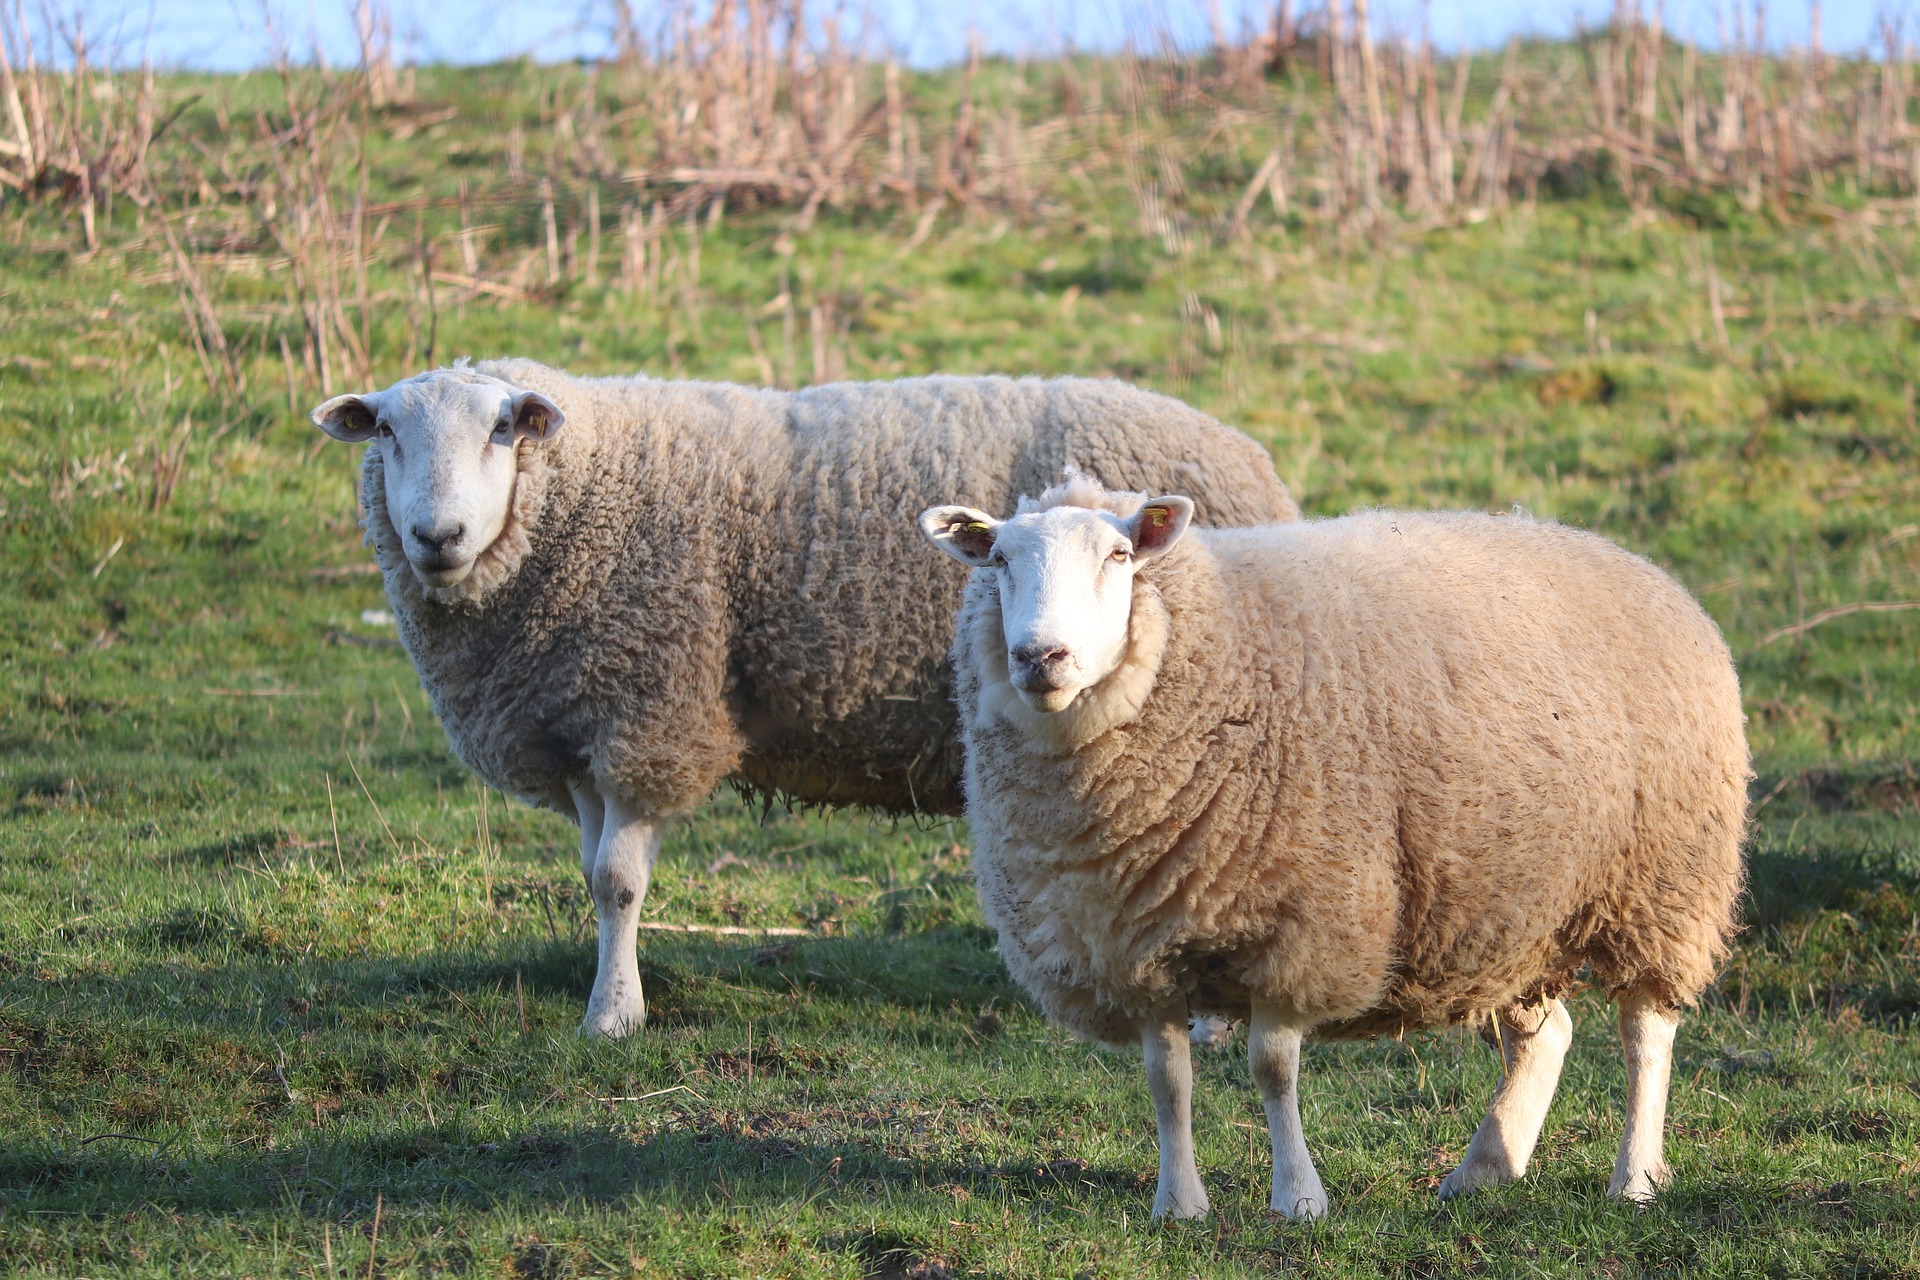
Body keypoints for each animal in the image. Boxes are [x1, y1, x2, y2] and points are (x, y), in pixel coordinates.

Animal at [309, 360, 1299, 1037]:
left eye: (501, 432)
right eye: (386, 434)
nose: (437, 535)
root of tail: (1254, 461)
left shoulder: (650, 709)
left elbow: (621, 881)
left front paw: (615, 1018)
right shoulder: (585, 721)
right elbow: (594, 875)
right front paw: (608, 992)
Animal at [918, 476, 1749, 1219]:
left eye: (1119, 556)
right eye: (998, 559)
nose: (1040, 657)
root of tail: (1633, 560)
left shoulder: (1300, 924)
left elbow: (1272, 1067)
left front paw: (1299, 1198)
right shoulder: (1133, 945)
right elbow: (1166, 1080)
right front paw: (1178, 1204)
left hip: (1664, 879)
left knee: (1645, 1032)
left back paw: (1634, 1178)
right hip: (1514, 903)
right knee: (1545, 1036)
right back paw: (1485, 1167)